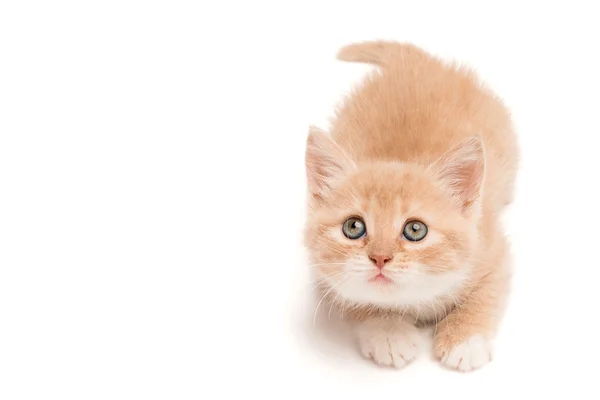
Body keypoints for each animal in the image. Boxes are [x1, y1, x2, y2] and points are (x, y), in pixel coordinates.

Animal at [304, 40, 520, 372]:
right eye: (353, 227)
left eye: (415, 230)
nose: (380, 258)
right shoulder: (325, 276)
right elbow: (359, 300)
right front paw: (388, 332)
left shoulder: (492, 249)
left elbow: (487, 293)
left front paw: (464, 339)